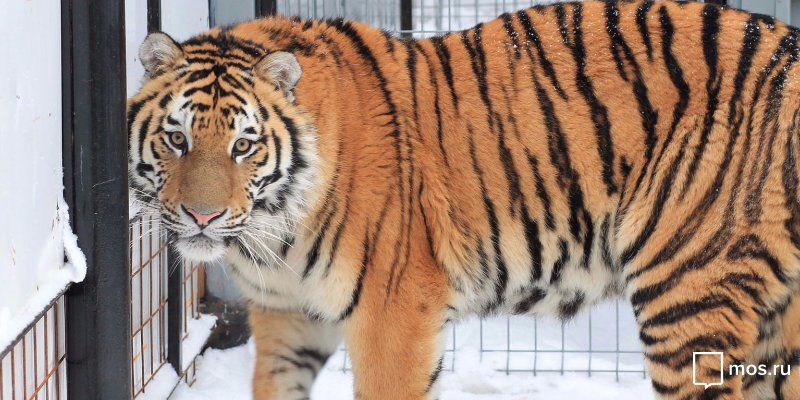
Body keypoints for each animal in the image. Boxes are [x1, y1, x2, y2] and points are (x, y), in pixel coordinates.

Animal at [127, 0, 800, 398]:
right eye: (177, 138)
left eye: (243, 146)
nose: (203, 216)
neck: (272, 234)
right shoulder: (287, 318)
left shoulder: (392, 317)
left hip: (686, 289)